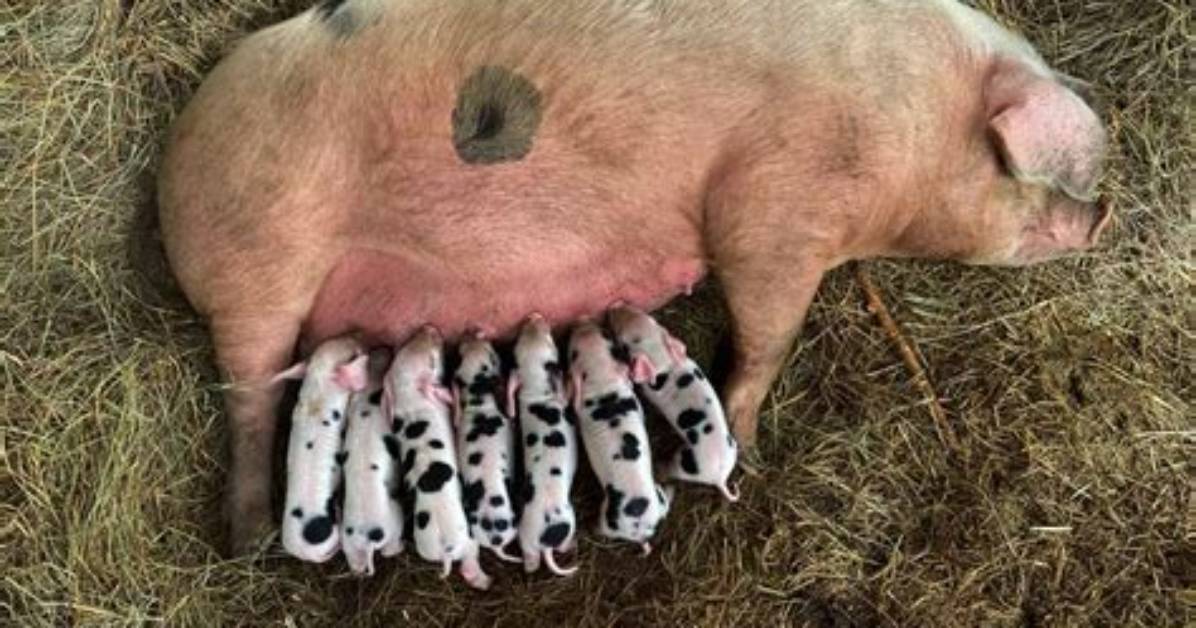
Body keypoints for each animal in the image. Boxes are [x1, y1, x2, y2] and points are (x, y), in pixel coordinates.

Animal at [339, 349, 403, 575]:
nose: (385, 348)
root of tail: (368, 539)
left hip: (349, 544)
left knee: (356, 564)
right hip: (394, 518)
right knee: (389, 550)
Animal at [384, 327, 490, 590]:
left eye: (404, 348)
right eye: (433, 362)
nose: (429, 328)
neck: (410, 395)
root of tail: (445, 550)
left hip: (425, 547)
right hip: (467, 538)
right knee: (471, 555)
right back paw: (487, 582)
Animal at [452, 333, 521, 563]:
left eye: (461, 352)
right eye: (492, 357)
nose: (476, 335)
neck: (478, 405)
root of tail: (495, 540)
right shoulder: (509, 425)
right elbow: (511, 415)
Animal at [508, 315, 579, 576]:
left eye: (517, 343)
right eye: (551, 342)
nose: (534, 316)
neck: (535, 389)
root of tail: (544, 540)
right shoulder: (561, 399)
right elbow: (567, 393)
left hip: (525, 537)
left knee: (531, 563)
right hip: (569, 518)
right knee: (561, 547)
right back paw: (572, 545)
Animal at [608, 305, 739, 501]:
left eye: (626, 343)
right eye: (652, 320)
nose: (615, 309)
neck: (665, 362)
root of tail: (721, 479)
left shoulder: (652, 392)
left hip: (686, 462)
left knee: (673, 469)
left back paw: (660, 469)